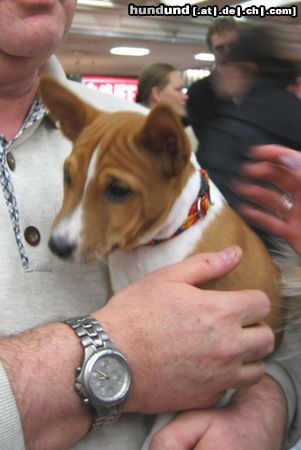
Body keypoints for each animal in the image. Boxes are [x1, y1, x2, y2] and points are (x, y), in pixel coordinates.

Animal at [39, 74, 284, 446]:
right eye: (68, 176)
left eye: (119, 191)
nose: (58, 245)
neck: (150, 248)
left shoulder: (210, 385)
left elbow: (162, 428)